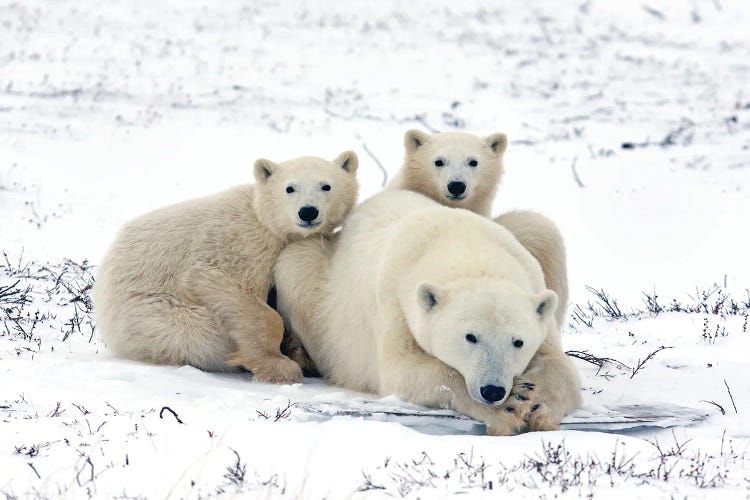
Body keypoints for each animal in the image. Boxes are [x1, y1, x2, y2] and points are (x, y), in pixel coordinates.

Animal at [93, 152, 358, 382]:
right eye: (289, 188)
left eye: (326, 186)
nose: (308, 211)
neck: (265, 220)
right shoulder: (242, 243)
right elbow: (222, 283)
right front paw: (278, 366)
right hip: (148, 310)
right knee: (201, 335)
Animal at [280, 189, 584, 432]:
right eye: (470, 337)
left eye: (518, 341)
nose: (493, 390)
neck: (465, 248)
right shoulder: (395, 301)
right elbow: (405, 370)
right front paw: (509, 407)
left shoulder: (532, 285)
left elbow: (560, 365)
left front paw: (537, 403)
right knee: (295, 264)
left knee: (539, 227)